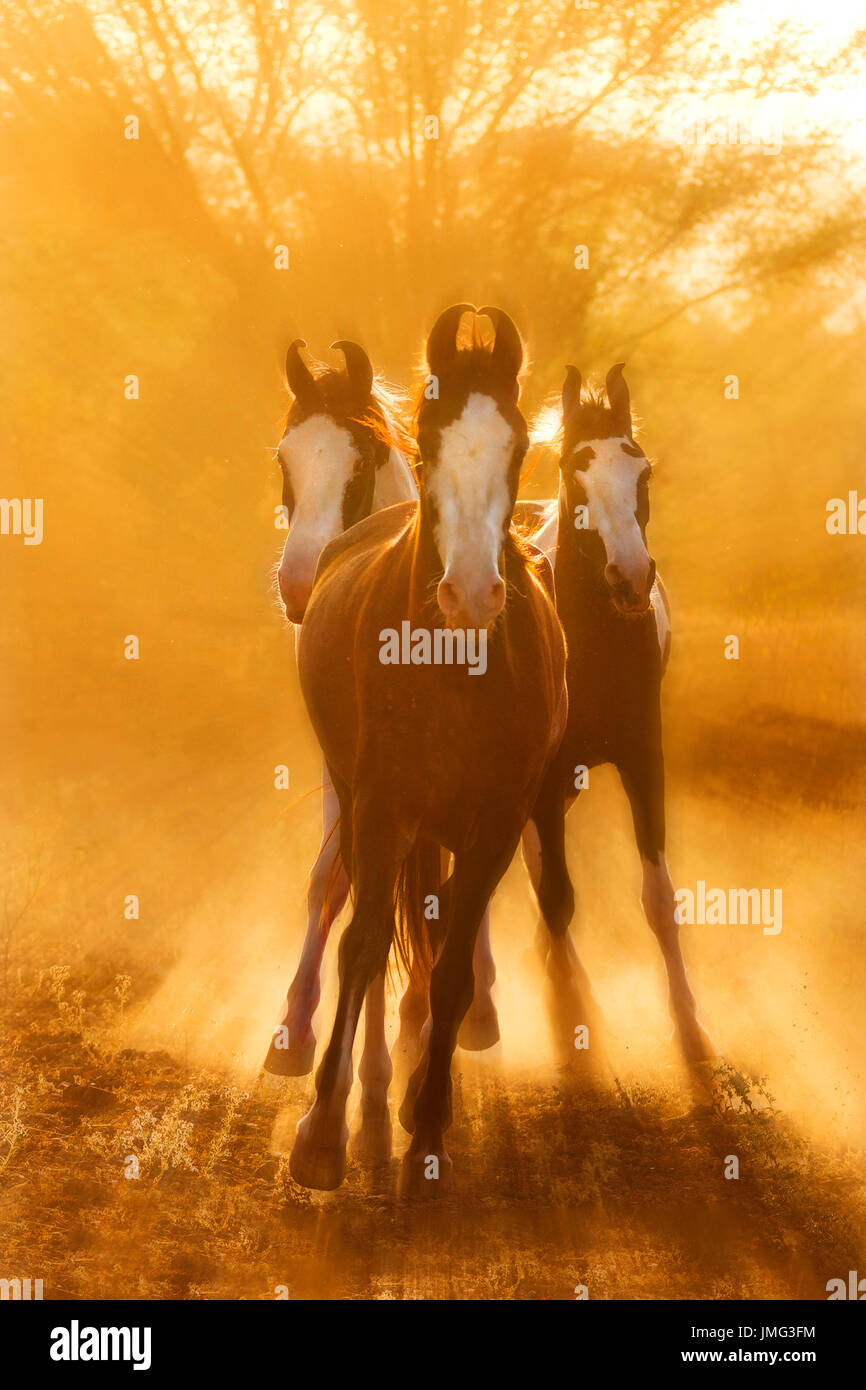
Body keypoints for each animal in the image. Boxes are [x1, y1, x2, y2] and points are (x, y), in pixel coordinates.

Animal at [287, 304, 567, 1195]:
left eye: (519, 445)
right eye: (425, 447)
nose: (472, 594)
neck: (450, 663)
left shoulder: (497, 821)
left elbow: (448, 971)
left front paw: (430, 1123)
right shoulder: (377, 805)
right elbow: (362, 942)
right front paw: (322, 1130)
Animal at [514, 361, 717, 1061]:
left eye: (643, 472)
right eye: (573, 472)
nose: (631, 577)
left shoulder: (641, 758)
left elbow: (659, 898)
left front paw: (691, 1028)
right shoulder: (545, 774)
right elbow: (557, 896)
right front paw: (571, 1008)